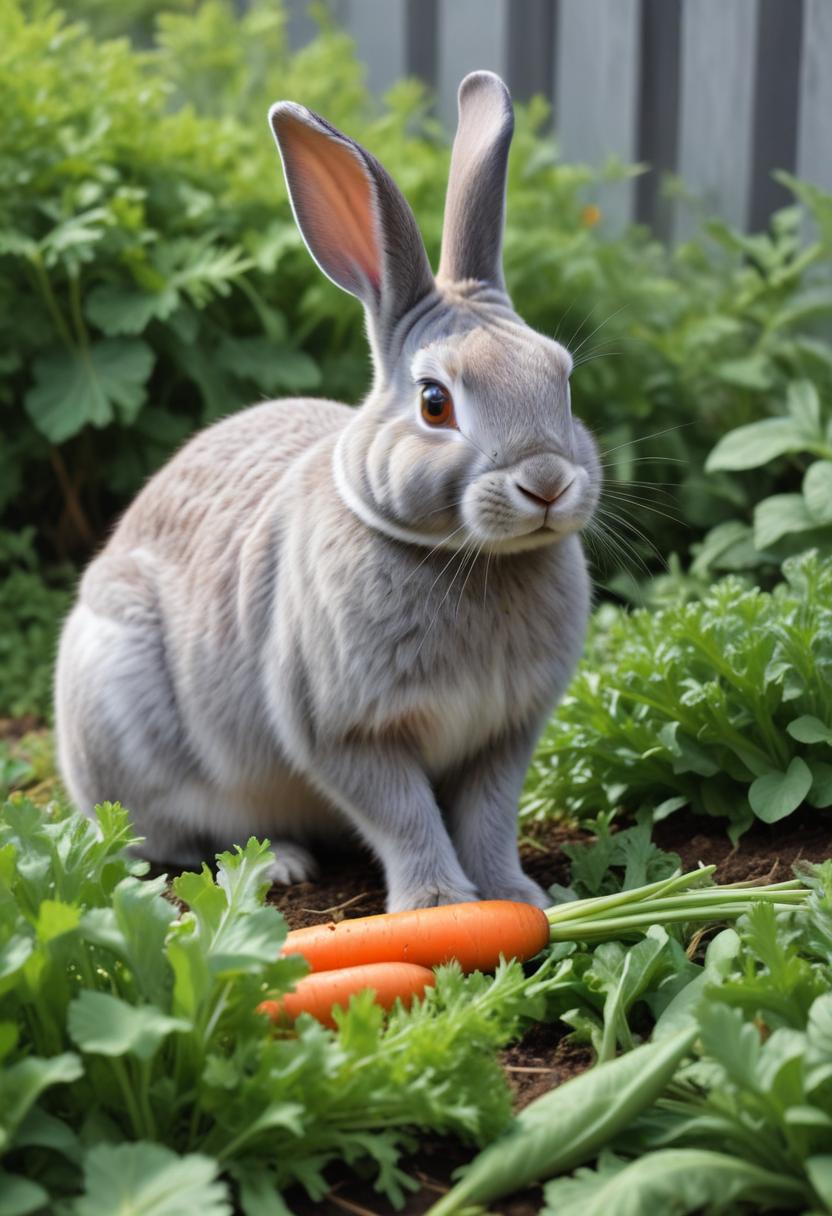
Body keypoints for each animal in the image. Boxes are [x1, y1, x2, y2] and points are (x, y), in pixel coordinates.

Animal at [54, 70, 601, 912]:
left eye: (562, 379)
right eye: (435, 402)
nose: (545, 482)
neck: (464, 556)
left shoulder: (503, 735)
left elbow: (488, 816)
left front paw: (519, 897)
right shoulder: (345, 732)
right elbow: (403, 815)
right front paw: (439, 907)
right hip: (126, 711)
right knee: (168, 843)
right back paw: (277, 863)